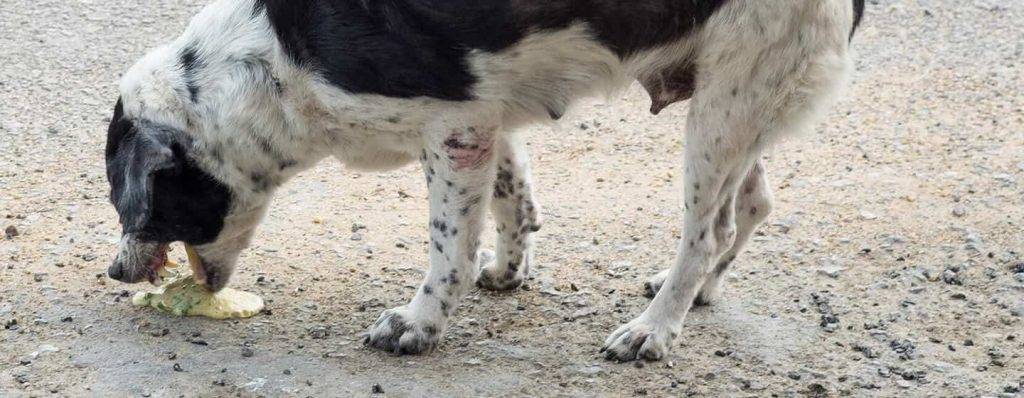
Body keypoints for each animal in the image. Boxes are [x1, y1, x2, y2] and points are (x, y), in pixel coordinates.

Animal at [105, 0, 864, 360]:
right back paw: (695, 295)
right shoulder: (485, 118)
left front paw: (419, 323)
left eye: (135, 208)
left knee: (709, 231)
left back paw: (653, 329)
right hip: (738, 102)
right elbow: (513, 199)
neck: (271, 61)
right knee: (754, 204)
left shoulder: (454, 128)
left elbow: (448, 247)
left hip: (727, 103)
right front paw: (508, 269)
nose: (114, 271)